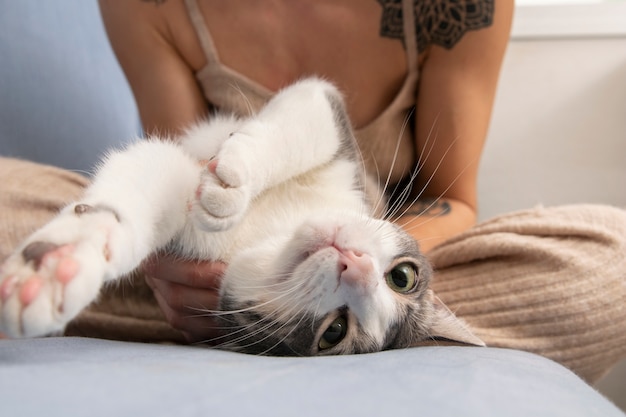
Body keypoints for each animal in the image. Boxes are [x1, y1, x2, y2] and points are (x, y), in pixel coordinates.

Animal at [0, 77, 482, 354]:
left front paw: (58, 268)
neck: (268, 232)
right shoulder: (342, 149)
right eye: (403, 276)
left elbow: (155, 172)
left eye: (335, 332)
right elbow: (306, 116)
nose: (356, 265)